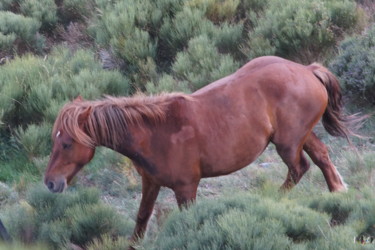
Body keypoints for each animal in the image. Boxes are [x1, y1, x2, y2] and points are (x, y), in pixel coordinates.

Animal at [44, 56, 358, 240]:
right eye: (53, 140)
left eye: (67, 143)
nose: (50, 183)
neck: (154, 133)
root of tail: (308, 70)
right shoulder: (151, 183)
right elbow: (141, 220)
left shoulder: (186, 188)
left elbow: (187, 221)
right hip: (300, 136)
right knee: (322, 158)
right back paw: (337, 196)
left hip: (288, 143)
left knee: (299, 168)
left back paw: (271, 202)